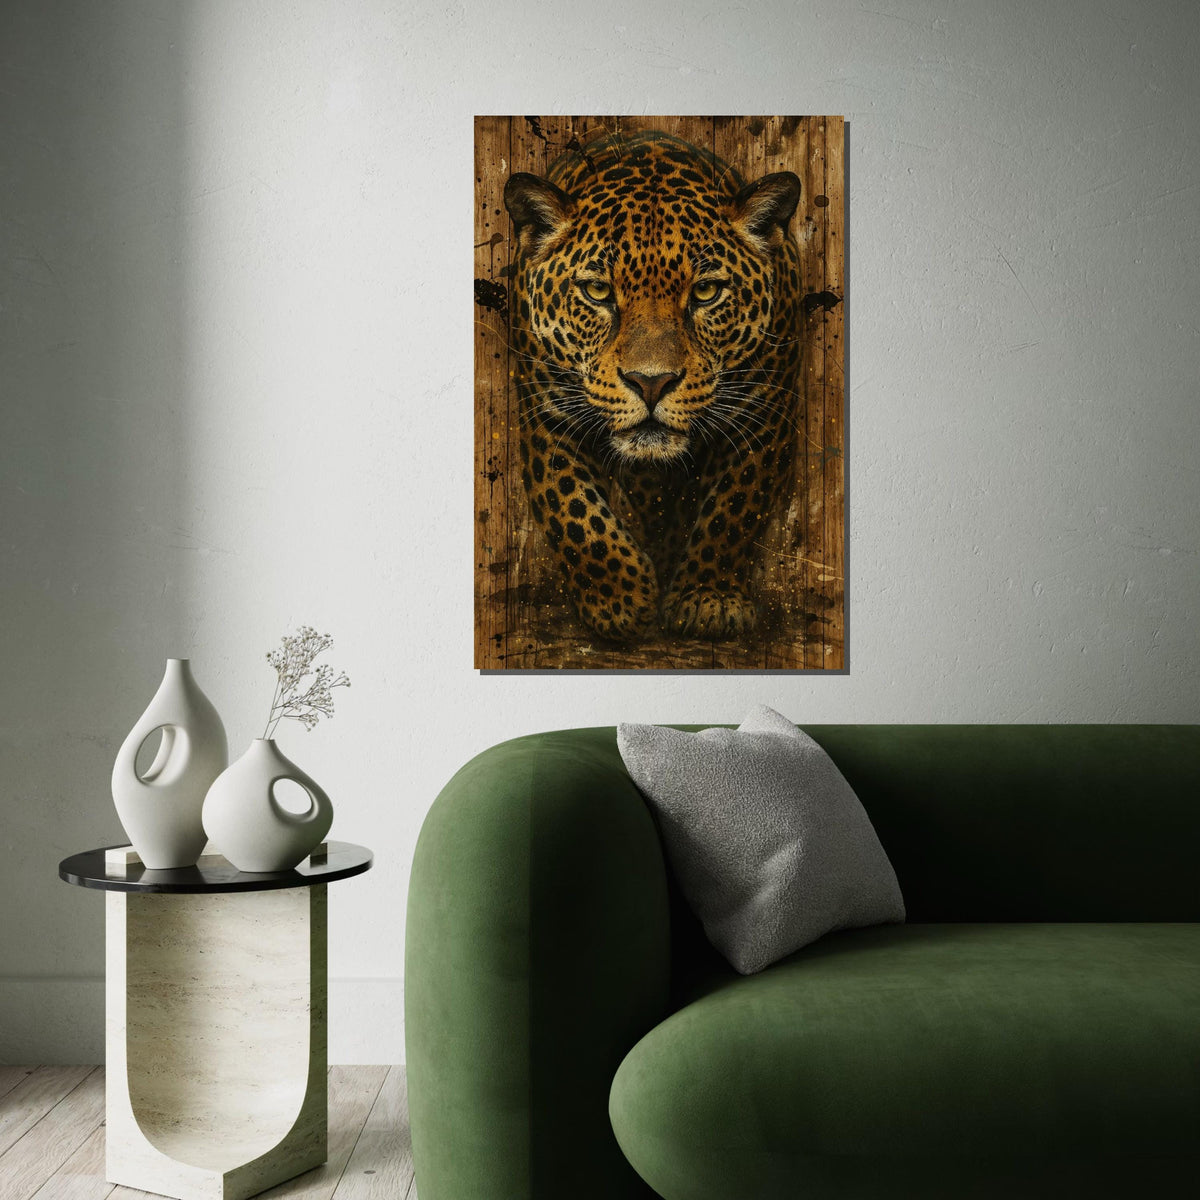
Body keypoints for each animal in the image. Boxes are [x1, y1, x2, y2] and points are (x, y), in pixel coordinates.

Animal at [503, 129, 803, 642]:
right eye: (598, 291)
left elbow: (733, 510)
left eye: (705, 292)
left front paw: (708, 599)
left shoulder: (764, 416)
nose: (651, 382)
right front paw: (619, 601)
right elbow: (572, 510)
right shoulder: (547, 414)